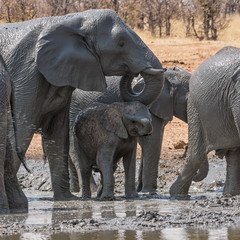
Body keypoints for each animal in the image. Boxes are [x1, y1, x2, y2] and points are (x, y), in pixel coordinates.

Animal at [0, 8, 163, 208]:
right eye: (121, 43)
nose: (133, 72)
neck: (68, 20)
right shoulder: (26, 74)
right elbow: (22, 130)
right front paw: (18, 207)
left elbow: (57, 134)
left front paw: (66, 200)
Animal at [68, 66, 190, 194]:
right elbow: (153, 141)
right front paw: (149, 192)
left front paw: (140, 189)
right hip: (75, 109)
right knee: (74, 150)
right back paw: (92, 190)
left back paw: (75, 190)